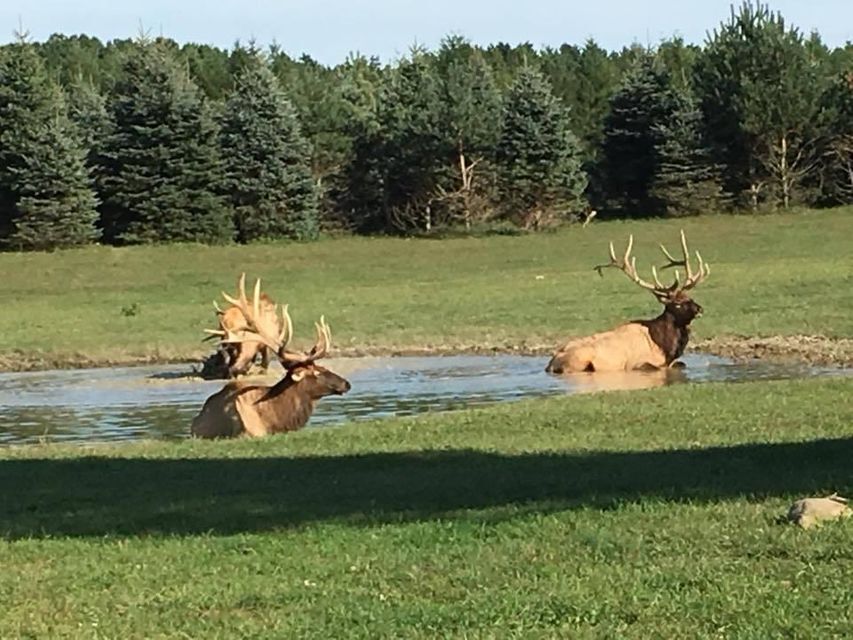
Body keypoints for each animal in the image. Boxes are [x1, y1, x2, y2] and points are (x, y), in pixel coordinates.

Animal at [544, 230, 712, 372]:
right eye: (677, 304)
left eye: (690, 298)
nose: (700, 309)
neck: (665, 347)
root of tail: (551, 364)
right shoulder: (637, 363)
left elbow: (682, 364)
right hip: (579, 361)